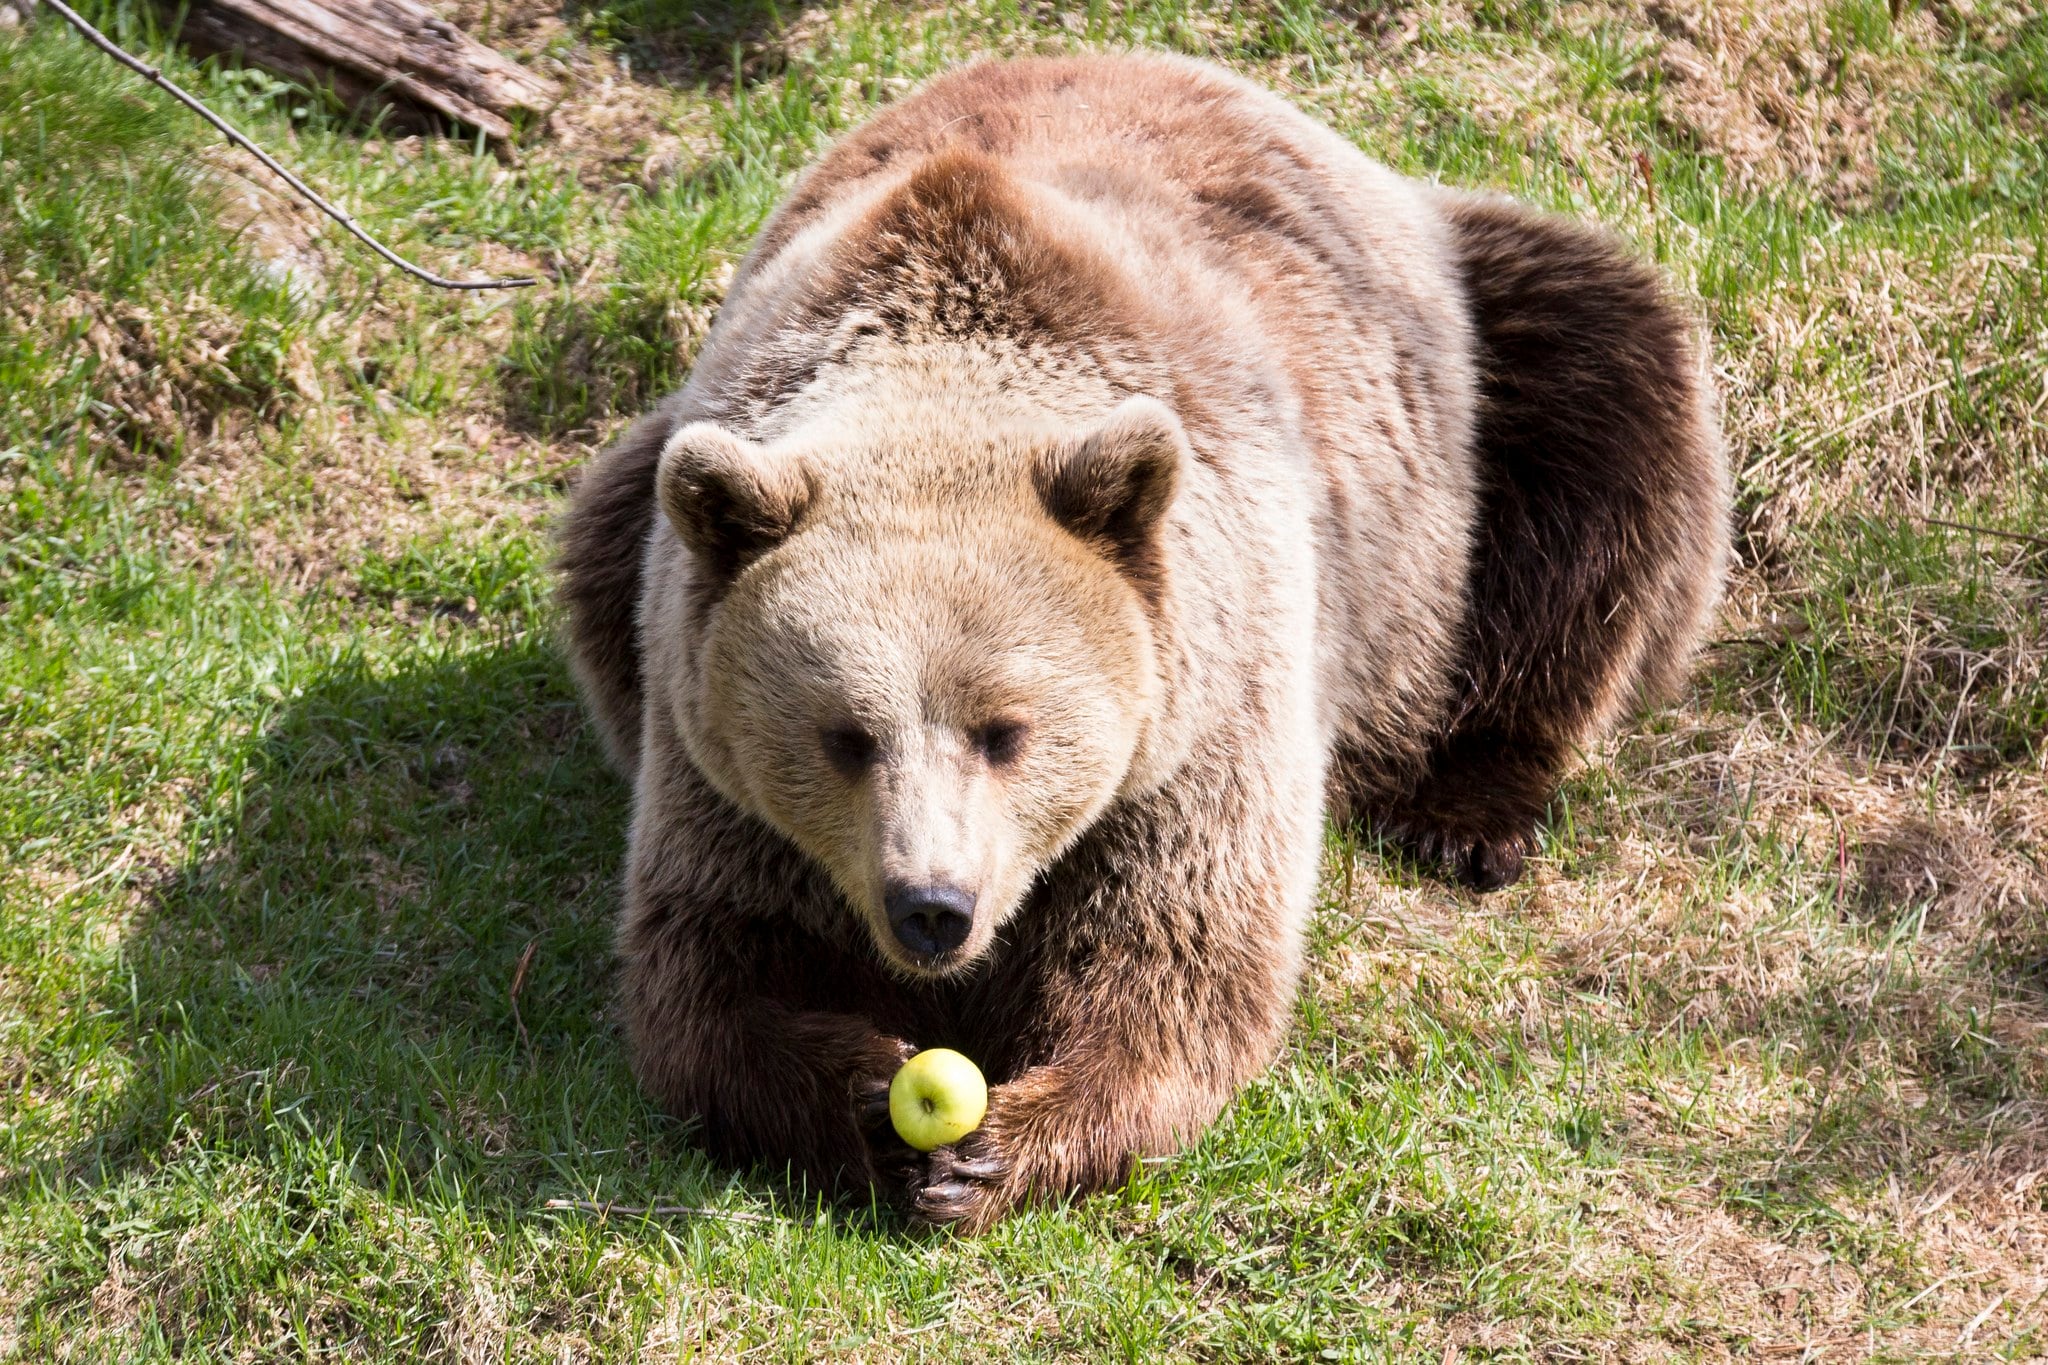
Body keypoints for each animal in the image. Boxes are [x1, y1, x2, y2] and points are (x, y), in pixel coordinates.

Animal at [557, 52, 1731, 1232]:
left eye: (1005, 731)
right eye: (845, 735)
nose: (932, 907)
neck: (945, 347)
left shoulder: (1203, 708)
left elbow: (1177, 963)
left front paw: (999, 1143)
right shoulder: (711, 752)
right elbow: (708, 976)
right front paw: (870, 1104)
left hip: (1453, 415)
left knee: (1602, 407)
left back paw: (1465, 814)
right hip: (645, 492)